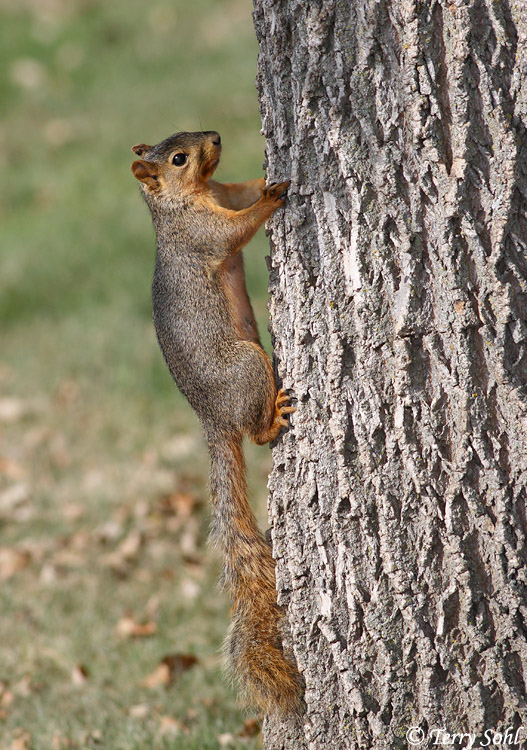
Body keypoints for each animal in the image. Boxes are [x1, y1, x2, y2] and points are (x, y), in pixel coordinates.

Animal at [131, 131, 303, 714]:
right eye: (178, 158)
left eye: (189, 139)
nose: (216, 137)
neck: (190, 197)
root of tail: (210, 418)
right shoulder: (201, 235)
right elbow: (234, 229)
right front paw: (271, 200)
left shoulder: (222, 191)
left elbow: (240, 192)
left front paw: (269, 177)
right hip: (249, 366)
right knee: (254, 431)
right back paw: (273, 419)